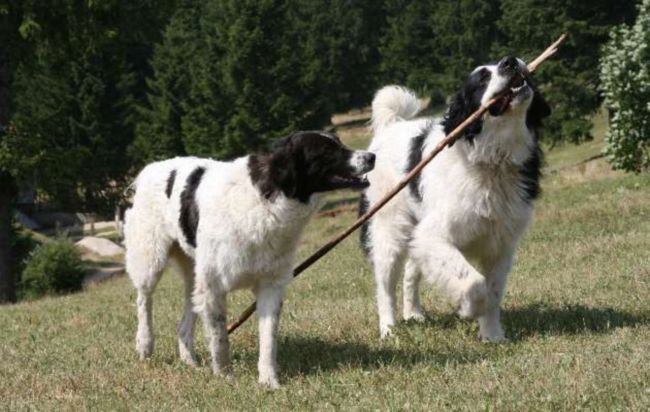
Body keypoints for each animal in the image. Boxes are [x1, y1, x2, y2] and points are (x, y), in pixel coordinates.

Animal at [124, 131, 375, 388]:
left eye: (339, 143)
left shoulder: (270, 285)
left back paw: (189, 361)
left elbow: (268, 339)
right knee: (144, 300)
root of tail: (151, 168)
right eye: (327, 151)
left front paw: (269, 380)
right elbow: (220, 338)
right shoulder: (213, 287)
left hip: (193, 275)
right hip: (151, 260)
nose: (372, 156)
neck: (266, 200)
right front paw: (225, 376)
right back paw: (145, 344)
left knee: (183, 323)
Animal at [359, 56, 551, 341]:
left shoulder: (500, 244)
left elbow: (494, 292)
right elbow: (475, 283)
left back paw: (413, 314)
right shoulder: (434, 235)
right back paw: (389, 330)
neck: (492, 160)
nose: (510, 61)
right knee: (385, 286)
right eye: (482, 78)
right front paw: (469, 309)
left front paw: (493, 336)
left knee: (411, 271)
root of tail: (391, 125)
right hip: (389, 229)